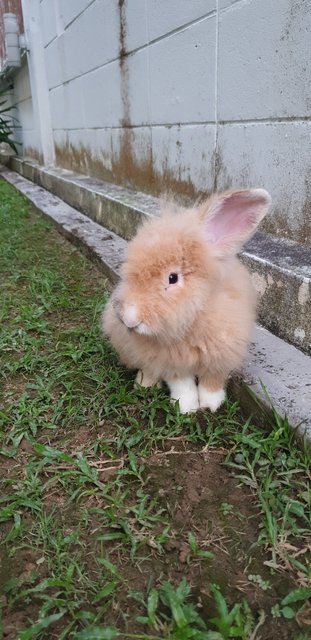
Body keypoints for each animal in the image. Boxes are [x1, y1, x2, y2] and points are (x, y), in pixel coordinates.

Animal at [103, 188, 272, 412]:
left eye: (173, 278)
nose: (129, 319)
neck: (192, 321)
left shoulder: (222, 355)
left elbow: (212, 381)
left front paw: (211, 405)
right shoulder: (172, 362)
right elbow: (183, 385)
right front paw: (187, 408)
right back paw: (144, 385)